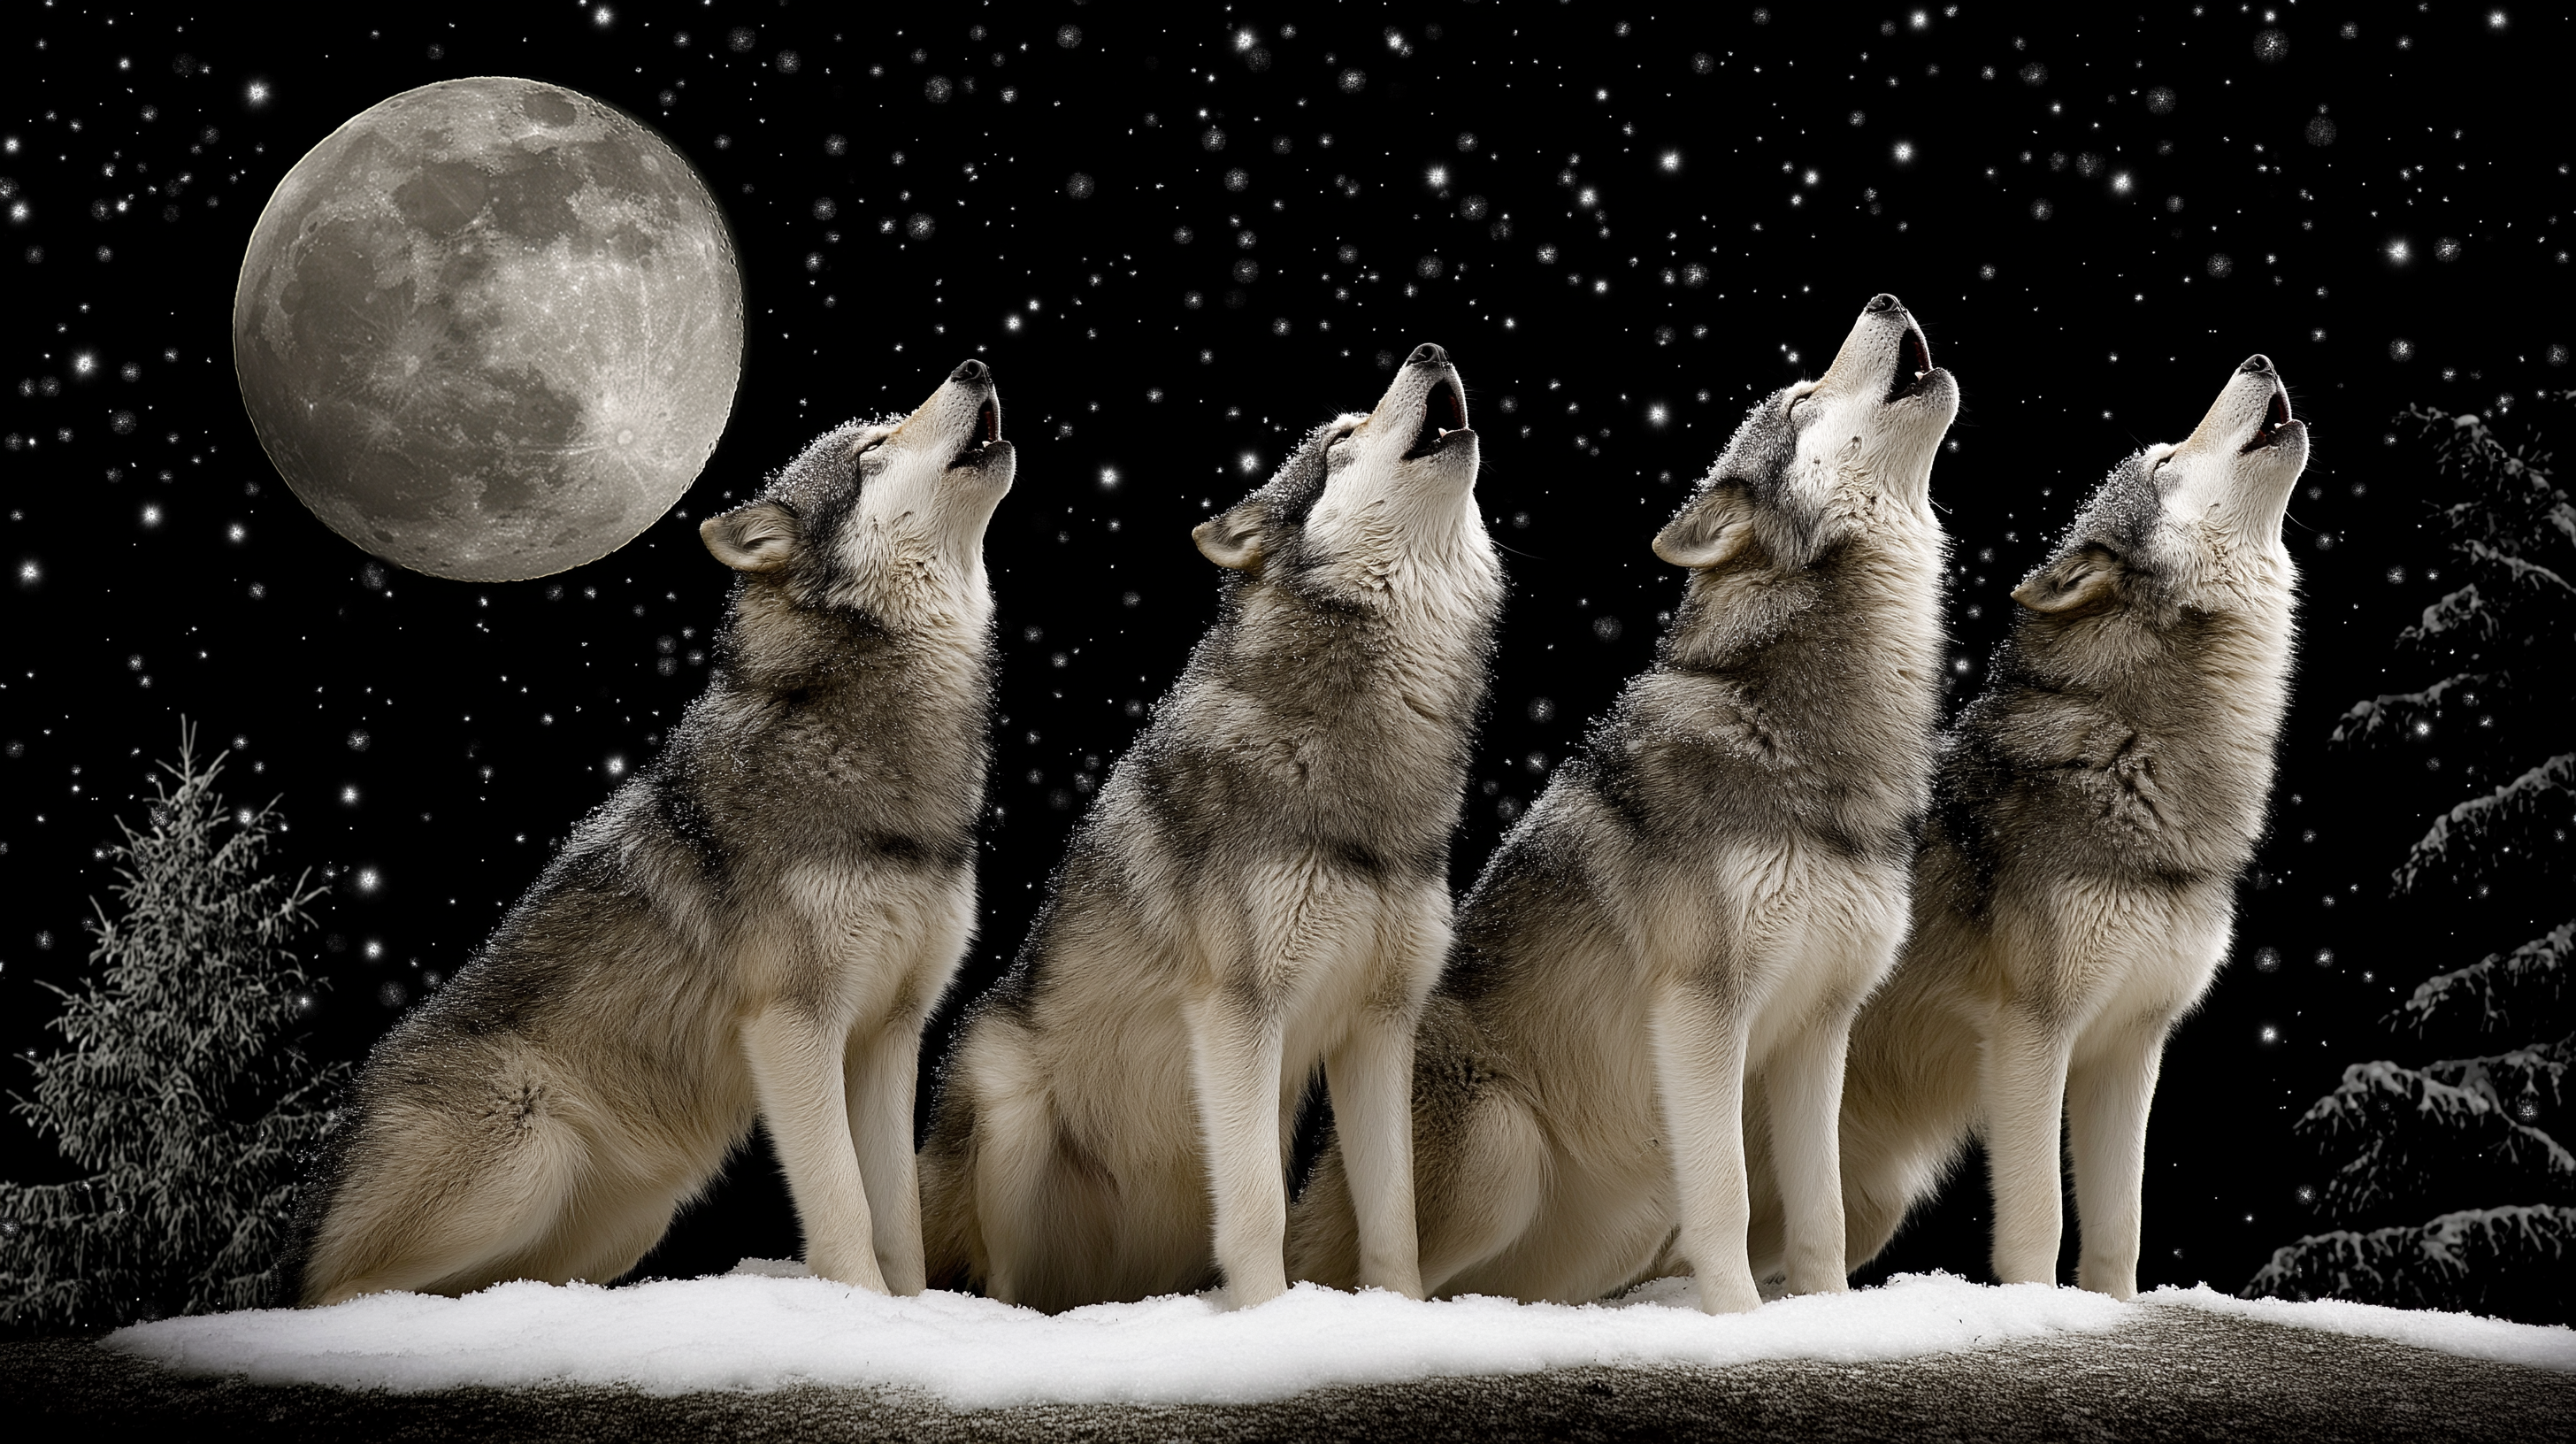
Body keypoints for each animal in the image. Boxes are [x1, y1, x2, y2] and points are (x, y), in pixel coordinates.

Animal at [284, 360, 1014, 1306]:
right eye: (872, 448)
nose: (974, 366)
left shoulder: (889, 1036)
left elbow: (901, 1227)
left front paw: (912, 1318)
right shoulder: (793, 1025)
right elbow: (846, 1210)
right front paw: (856, 1311)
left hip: (624, 1223)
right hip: (529, 1154)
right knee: (327, 1296)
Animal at [920, 344, 1501, 1313]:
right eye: (1341, 438)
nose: (1430, 351)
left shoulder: (1380, 1029)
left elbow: (1395, 1221)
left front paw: (1396, 1317)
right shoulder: (1236, 1014)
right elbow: (1260, 1209)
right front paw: (1265, 1321)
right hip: (1006, 1096)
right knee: (1003, 1284)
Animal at [1290, 296, 1957, 1313]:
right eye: (1803, 400)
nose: (1883, 300)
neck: (1799, 729)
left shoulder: (1819, 1031)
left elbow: (1823, 1219)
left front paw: (1823, 1319)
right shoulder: (1698, 1012)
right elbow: (1726, 1197)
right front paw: (1738, 1322)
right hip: (1502, 1150)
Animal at [1802, 355, 2307, 1299]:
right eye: (2164, 461)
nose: (2258, 362)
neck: (2134, 752)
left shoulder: (2130, 1049)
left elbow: (2119, 1230)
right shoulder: (2030, 1038)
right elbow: (2040, 1222)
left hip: (1874, 1201)